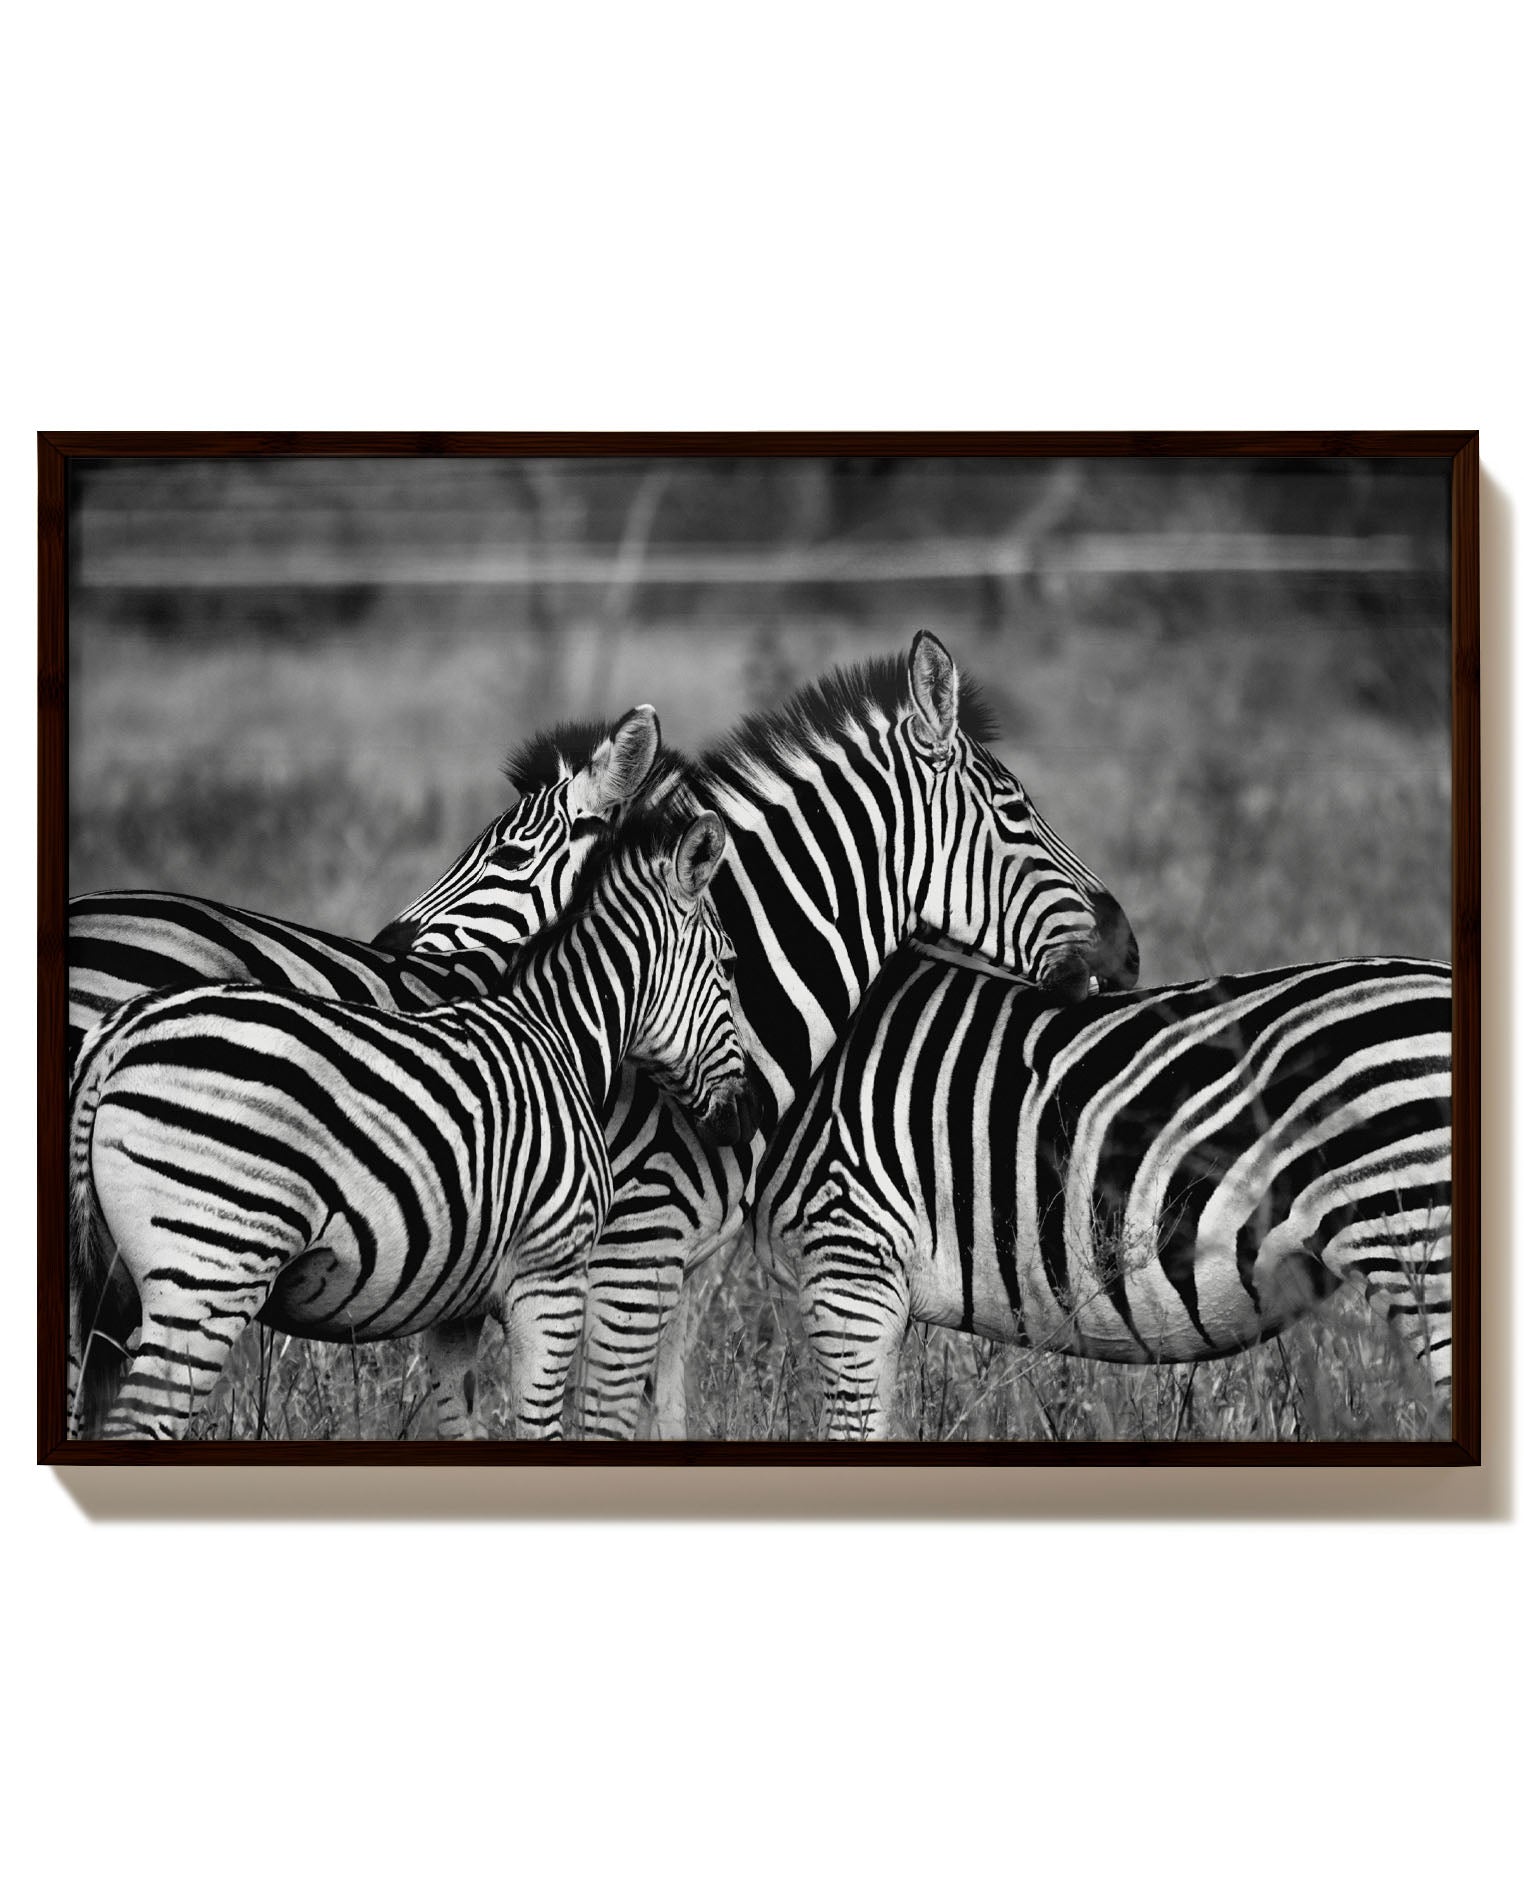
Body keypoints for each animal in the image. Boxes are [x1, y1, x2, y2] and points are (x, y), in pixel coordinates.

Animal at [68, 803, 751, 1440]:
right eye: (727, 964)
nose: (743, 1120)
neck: (558, 1035)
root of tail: (120, 1033)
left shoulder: (458, 1303)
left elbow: (463, 1419)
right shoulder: (551, 1275)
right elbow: (541, 1425)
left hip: (104, 1296)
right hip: (209, 1272)